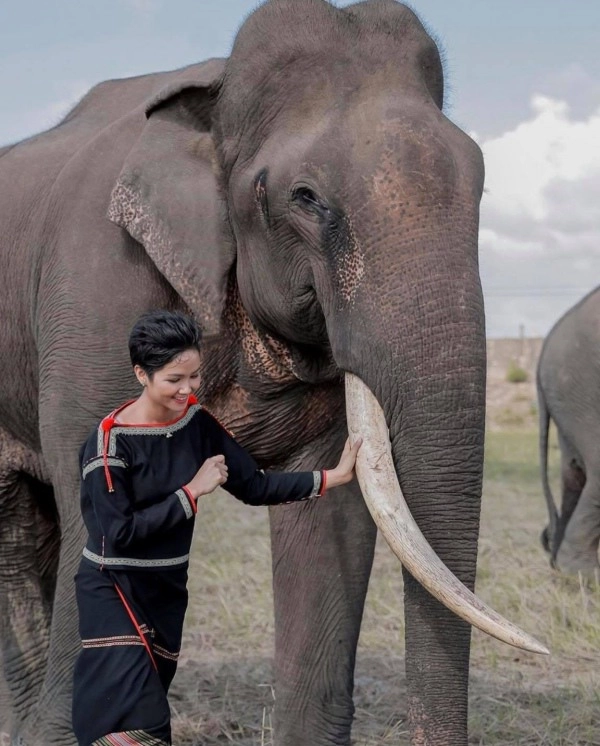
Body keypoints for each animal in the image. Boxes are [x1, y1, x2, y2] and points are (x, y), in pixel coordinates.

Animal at [0, 1, 544, 744]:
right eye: (305, 197)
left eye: (484, 182)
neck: (217, 94)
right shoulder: (94, 286)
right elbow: (98, 497)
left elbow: (329, 508)